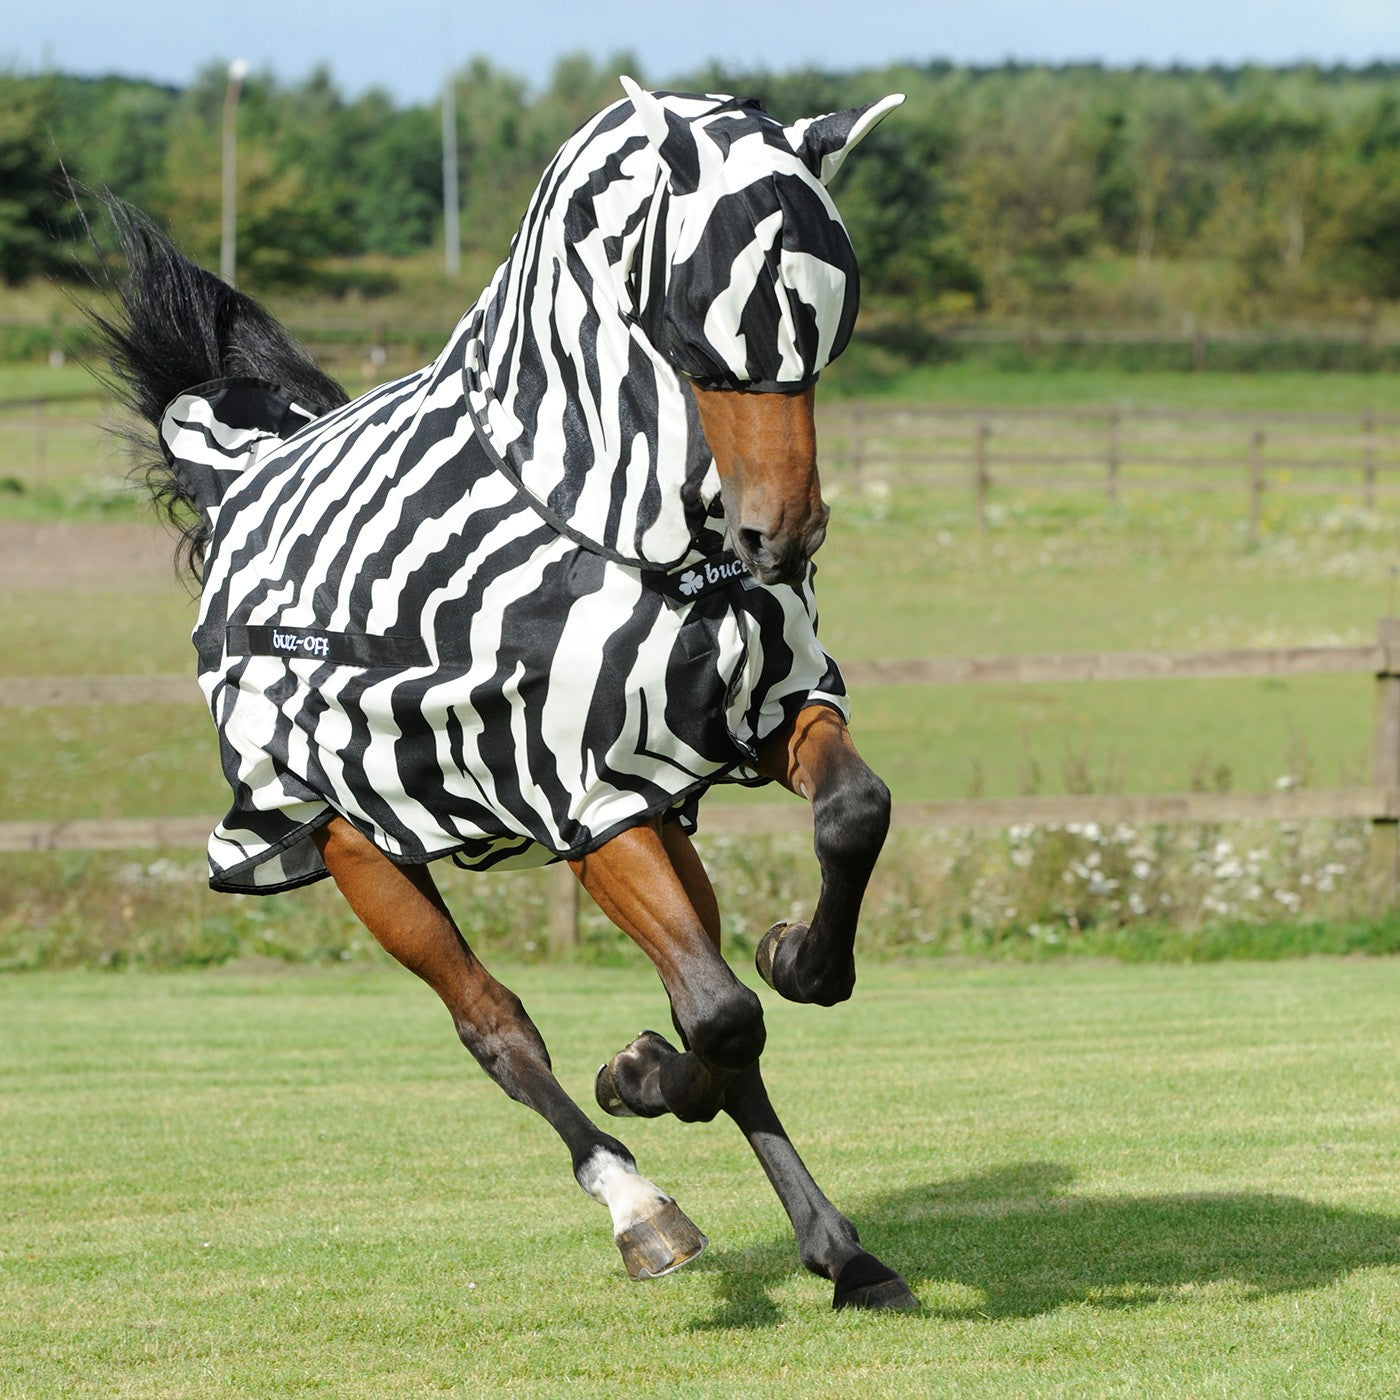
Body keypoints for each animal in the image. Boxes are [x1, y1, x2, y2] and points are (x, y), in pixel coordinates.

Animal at [94, 77, 917, 1311]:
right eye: (700, 318)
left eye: (830, 322)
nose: (782, 535)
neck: (609, 531)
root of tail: (239, 477)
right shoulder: (585, 800)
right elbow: (721, 1015)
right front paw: (652, 1077)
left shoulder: (750, 718)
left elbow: (844, 828)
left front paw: (788, 964)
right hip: (359, 851)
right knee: (499, 1027)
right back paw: (640, 1208)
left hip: (648, 822)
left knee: (696, 999)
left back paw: (828, 1238)